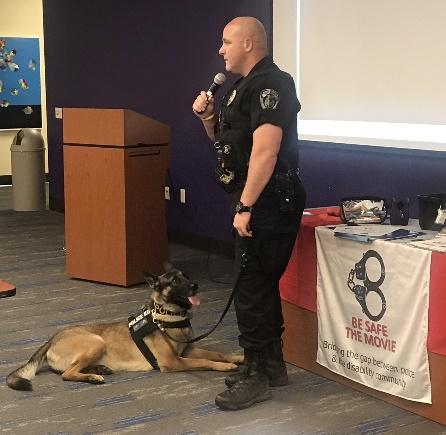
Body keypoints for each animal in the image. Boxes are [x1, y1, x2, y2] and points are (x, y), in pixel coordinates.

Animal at [6, 264, 244, 394]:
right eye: (175, 281)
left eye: (186, 276)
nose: (195, 285)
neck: (168, 315)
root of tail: (52, 339)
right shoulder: (174, 361)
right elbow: (205, 361)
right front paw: (225, 366)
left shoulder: (188, 350)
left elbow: (217, 353)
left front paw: (238, 357)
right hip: (96, 342)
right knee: (66, 374)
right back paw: (93, 377)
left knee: (70, 370)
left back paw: (99, 370)